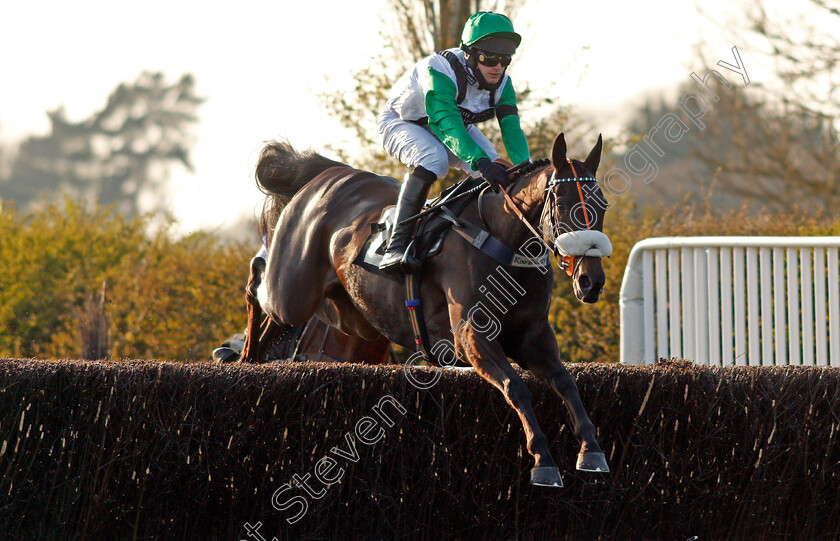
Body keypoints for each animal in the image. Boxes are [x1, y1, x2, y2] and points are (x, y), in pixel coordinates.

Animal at [243, 133, 612, 488]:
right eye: (562, 204)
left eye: (603, 204)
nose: (591, 281)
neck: (503, 241)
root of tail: (327, 174)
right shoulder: (472, 337)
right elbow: (515, 387)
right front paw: (543, 461)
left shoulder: (532, 337)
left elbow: (565, 381)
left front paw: (592, 451)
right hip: (292, 293)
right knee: (259, 283)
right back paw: (248, 351)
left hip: (352, 316)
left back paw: (256, 355)